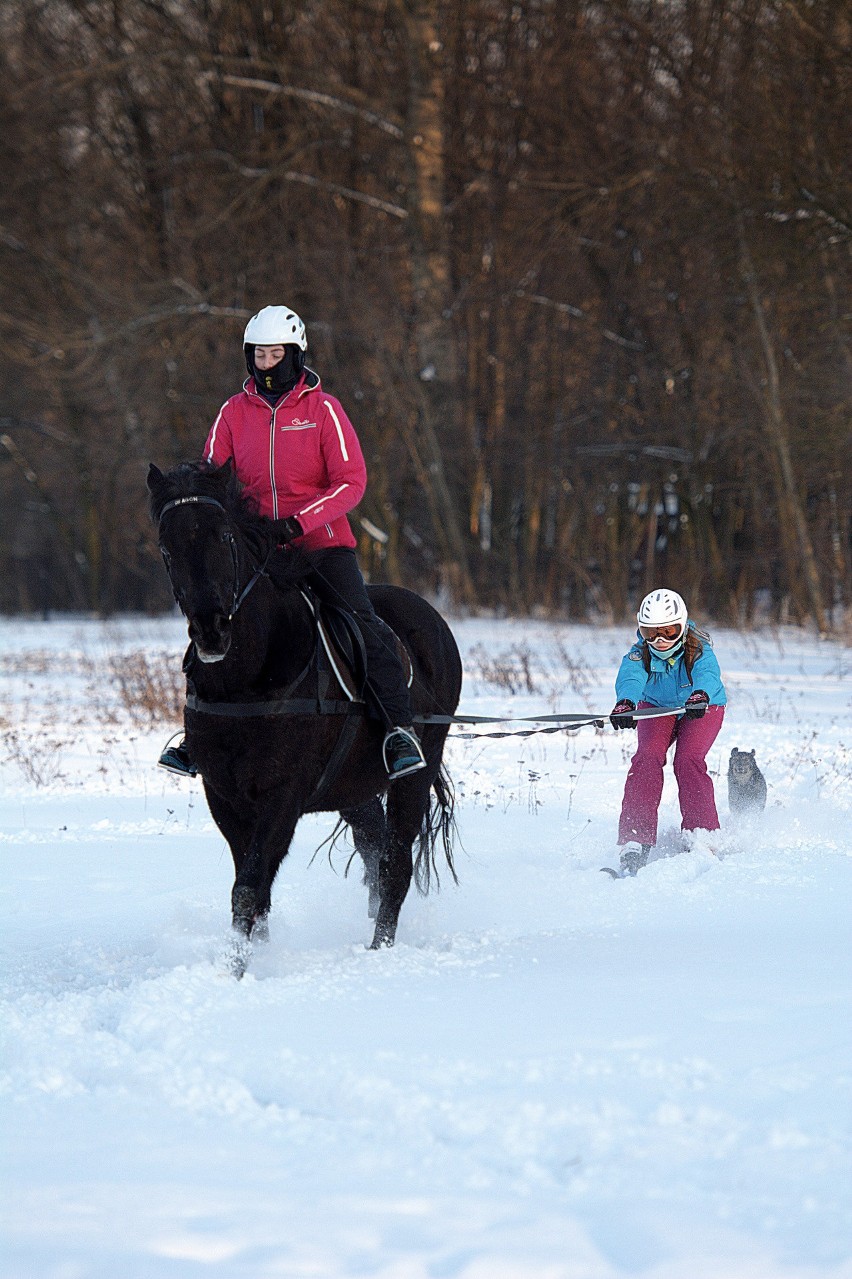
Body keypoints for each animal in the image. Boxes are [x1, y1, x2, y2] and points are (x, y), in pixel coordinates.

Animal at [149, 460, 460, 961]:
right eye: (166, 546)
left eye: (224, 535)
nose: (212, 631)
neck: (248, 677)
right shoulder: (225, 796)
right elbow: (253, 890)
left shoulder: (283, 795)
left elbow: (249, 888)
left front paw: (234, 969)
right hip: (353, 786)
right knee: (374, 848)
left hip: (417, 771)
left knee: (395, 863)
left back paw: (379, 951)